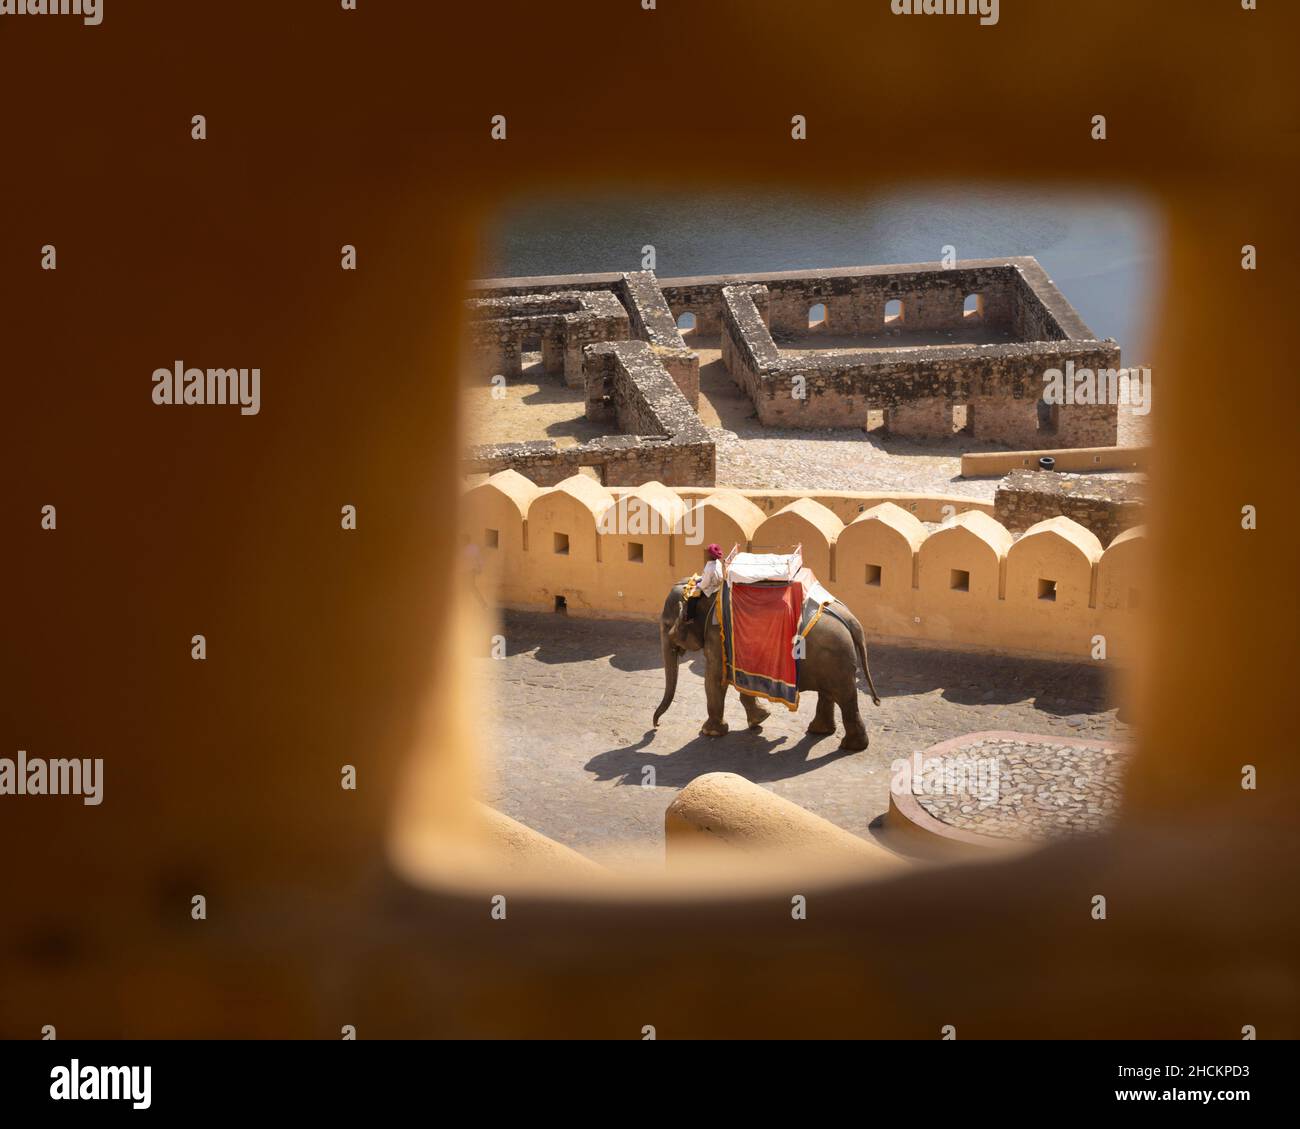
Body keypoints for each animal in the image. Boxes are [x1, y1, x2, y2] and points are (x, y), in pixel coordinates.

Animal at [650, 577, 883, 754]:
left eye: (667, 625)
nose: (656, 725)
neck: (707, 593)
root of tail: (850, 620)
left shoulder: (716, 635)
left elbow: (715, 678)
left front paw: (709, 732)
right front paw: (760, 719)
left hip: (835, 657)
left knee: (844, 697)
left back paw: (849, 746)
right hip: (833, 660)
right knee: (830, 694)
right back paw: (821, 732)